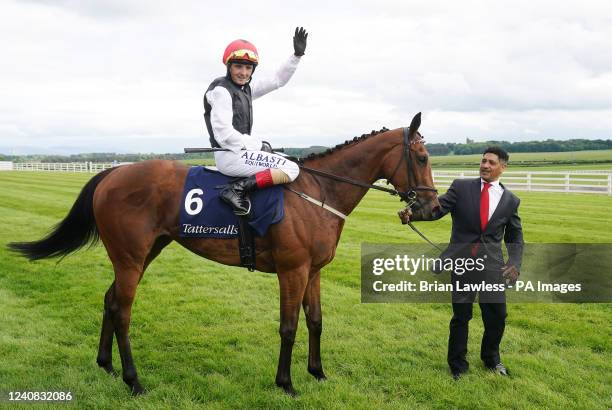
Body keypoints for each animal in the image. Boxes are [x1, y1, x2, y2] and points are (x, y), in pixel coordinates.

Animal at [8, 111, 440, 394]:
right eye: (421, 157)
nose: (433, 209)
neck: (318, 192)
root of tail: (114, 172)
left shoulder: (314, 271)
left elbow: (316, 321)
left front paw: (318, 373)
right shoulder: (293, 269)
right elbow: (289, 327)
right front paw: (286, 383)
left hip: (145, 253)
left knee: (109, 300)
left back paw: (107, 366)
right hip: (130, 257)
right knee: (122, 310)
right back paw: (133, 379)